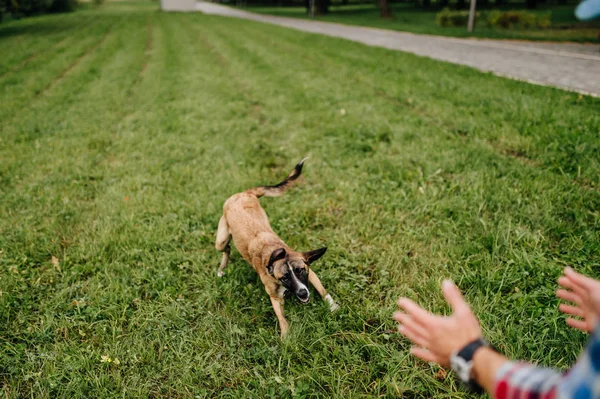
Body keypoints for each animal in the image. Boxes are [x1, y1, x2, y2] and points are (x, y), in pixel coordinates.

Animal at [214, 158, 338, 340]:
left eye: (300, 271)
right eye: (284, 277)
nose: (303, 293)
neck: (275, 251)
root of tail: (244, 193)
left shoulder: (310, 273)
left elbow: (323, 290)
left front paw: (333, 306)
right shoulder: (275, 297)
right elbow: (282, 318)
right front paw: (286, 336)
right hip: (221, 240)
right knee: (227, 248)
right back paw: (222, 268)